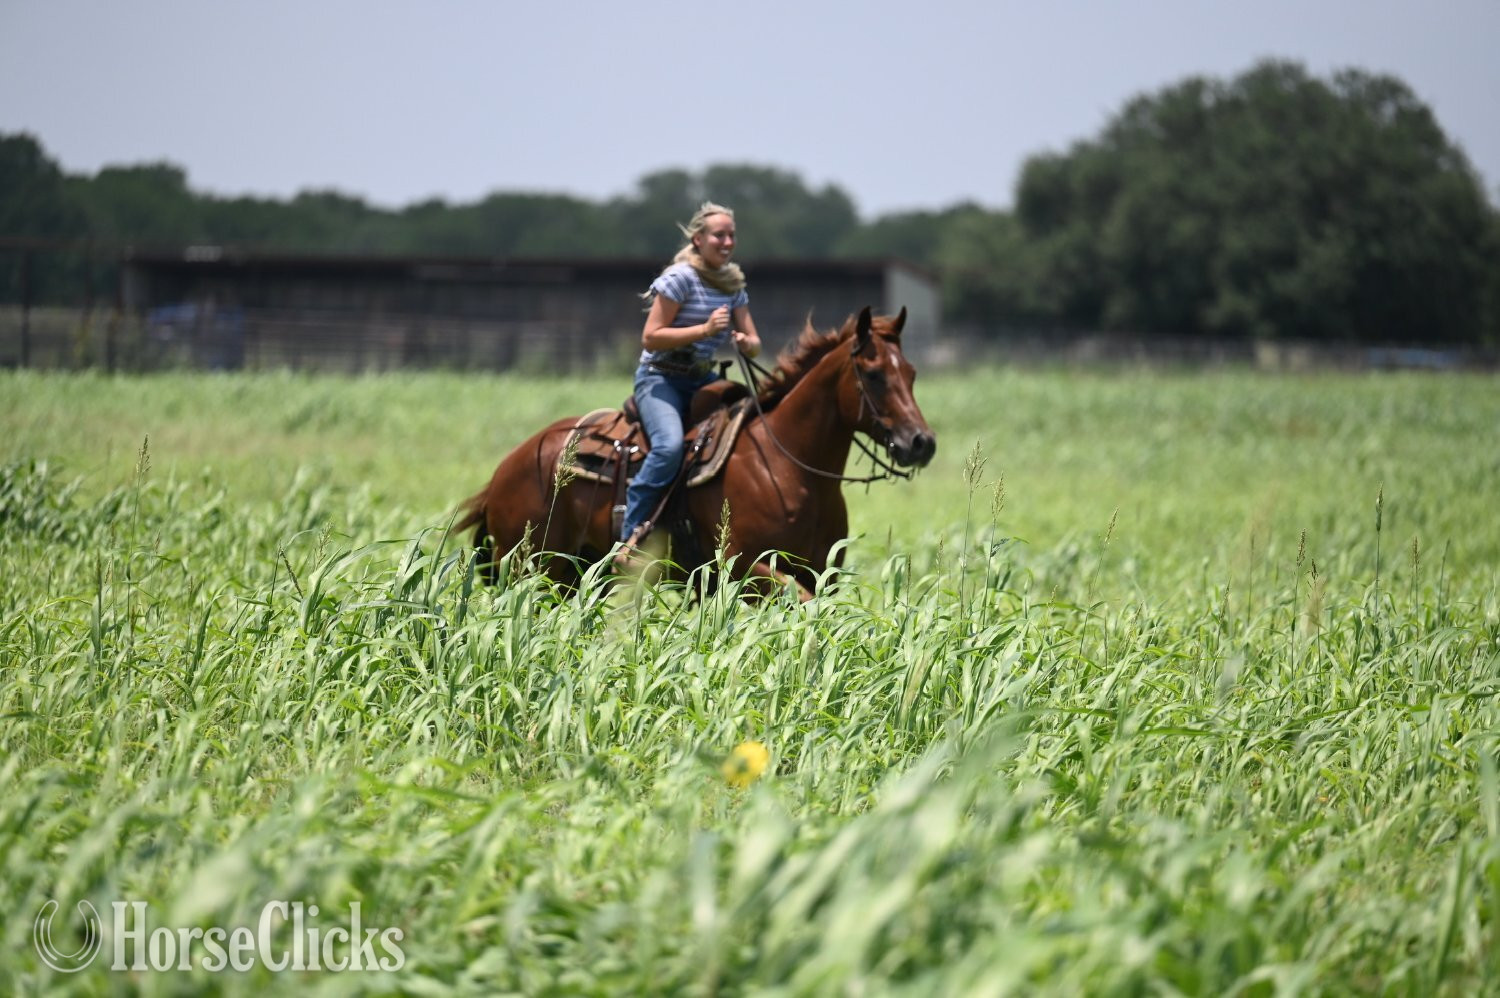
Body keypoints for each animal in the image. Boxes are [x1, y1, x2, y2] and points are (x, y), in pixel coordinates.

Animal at [452, 306, 936, 598]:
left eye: (911, 373)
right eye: (873, 374)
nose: (921, 442)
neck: (788, 467)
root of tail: (505, 469)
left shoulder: (822, 571)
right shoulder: (745, 568)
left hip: (581, 573)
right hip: (535, 570)